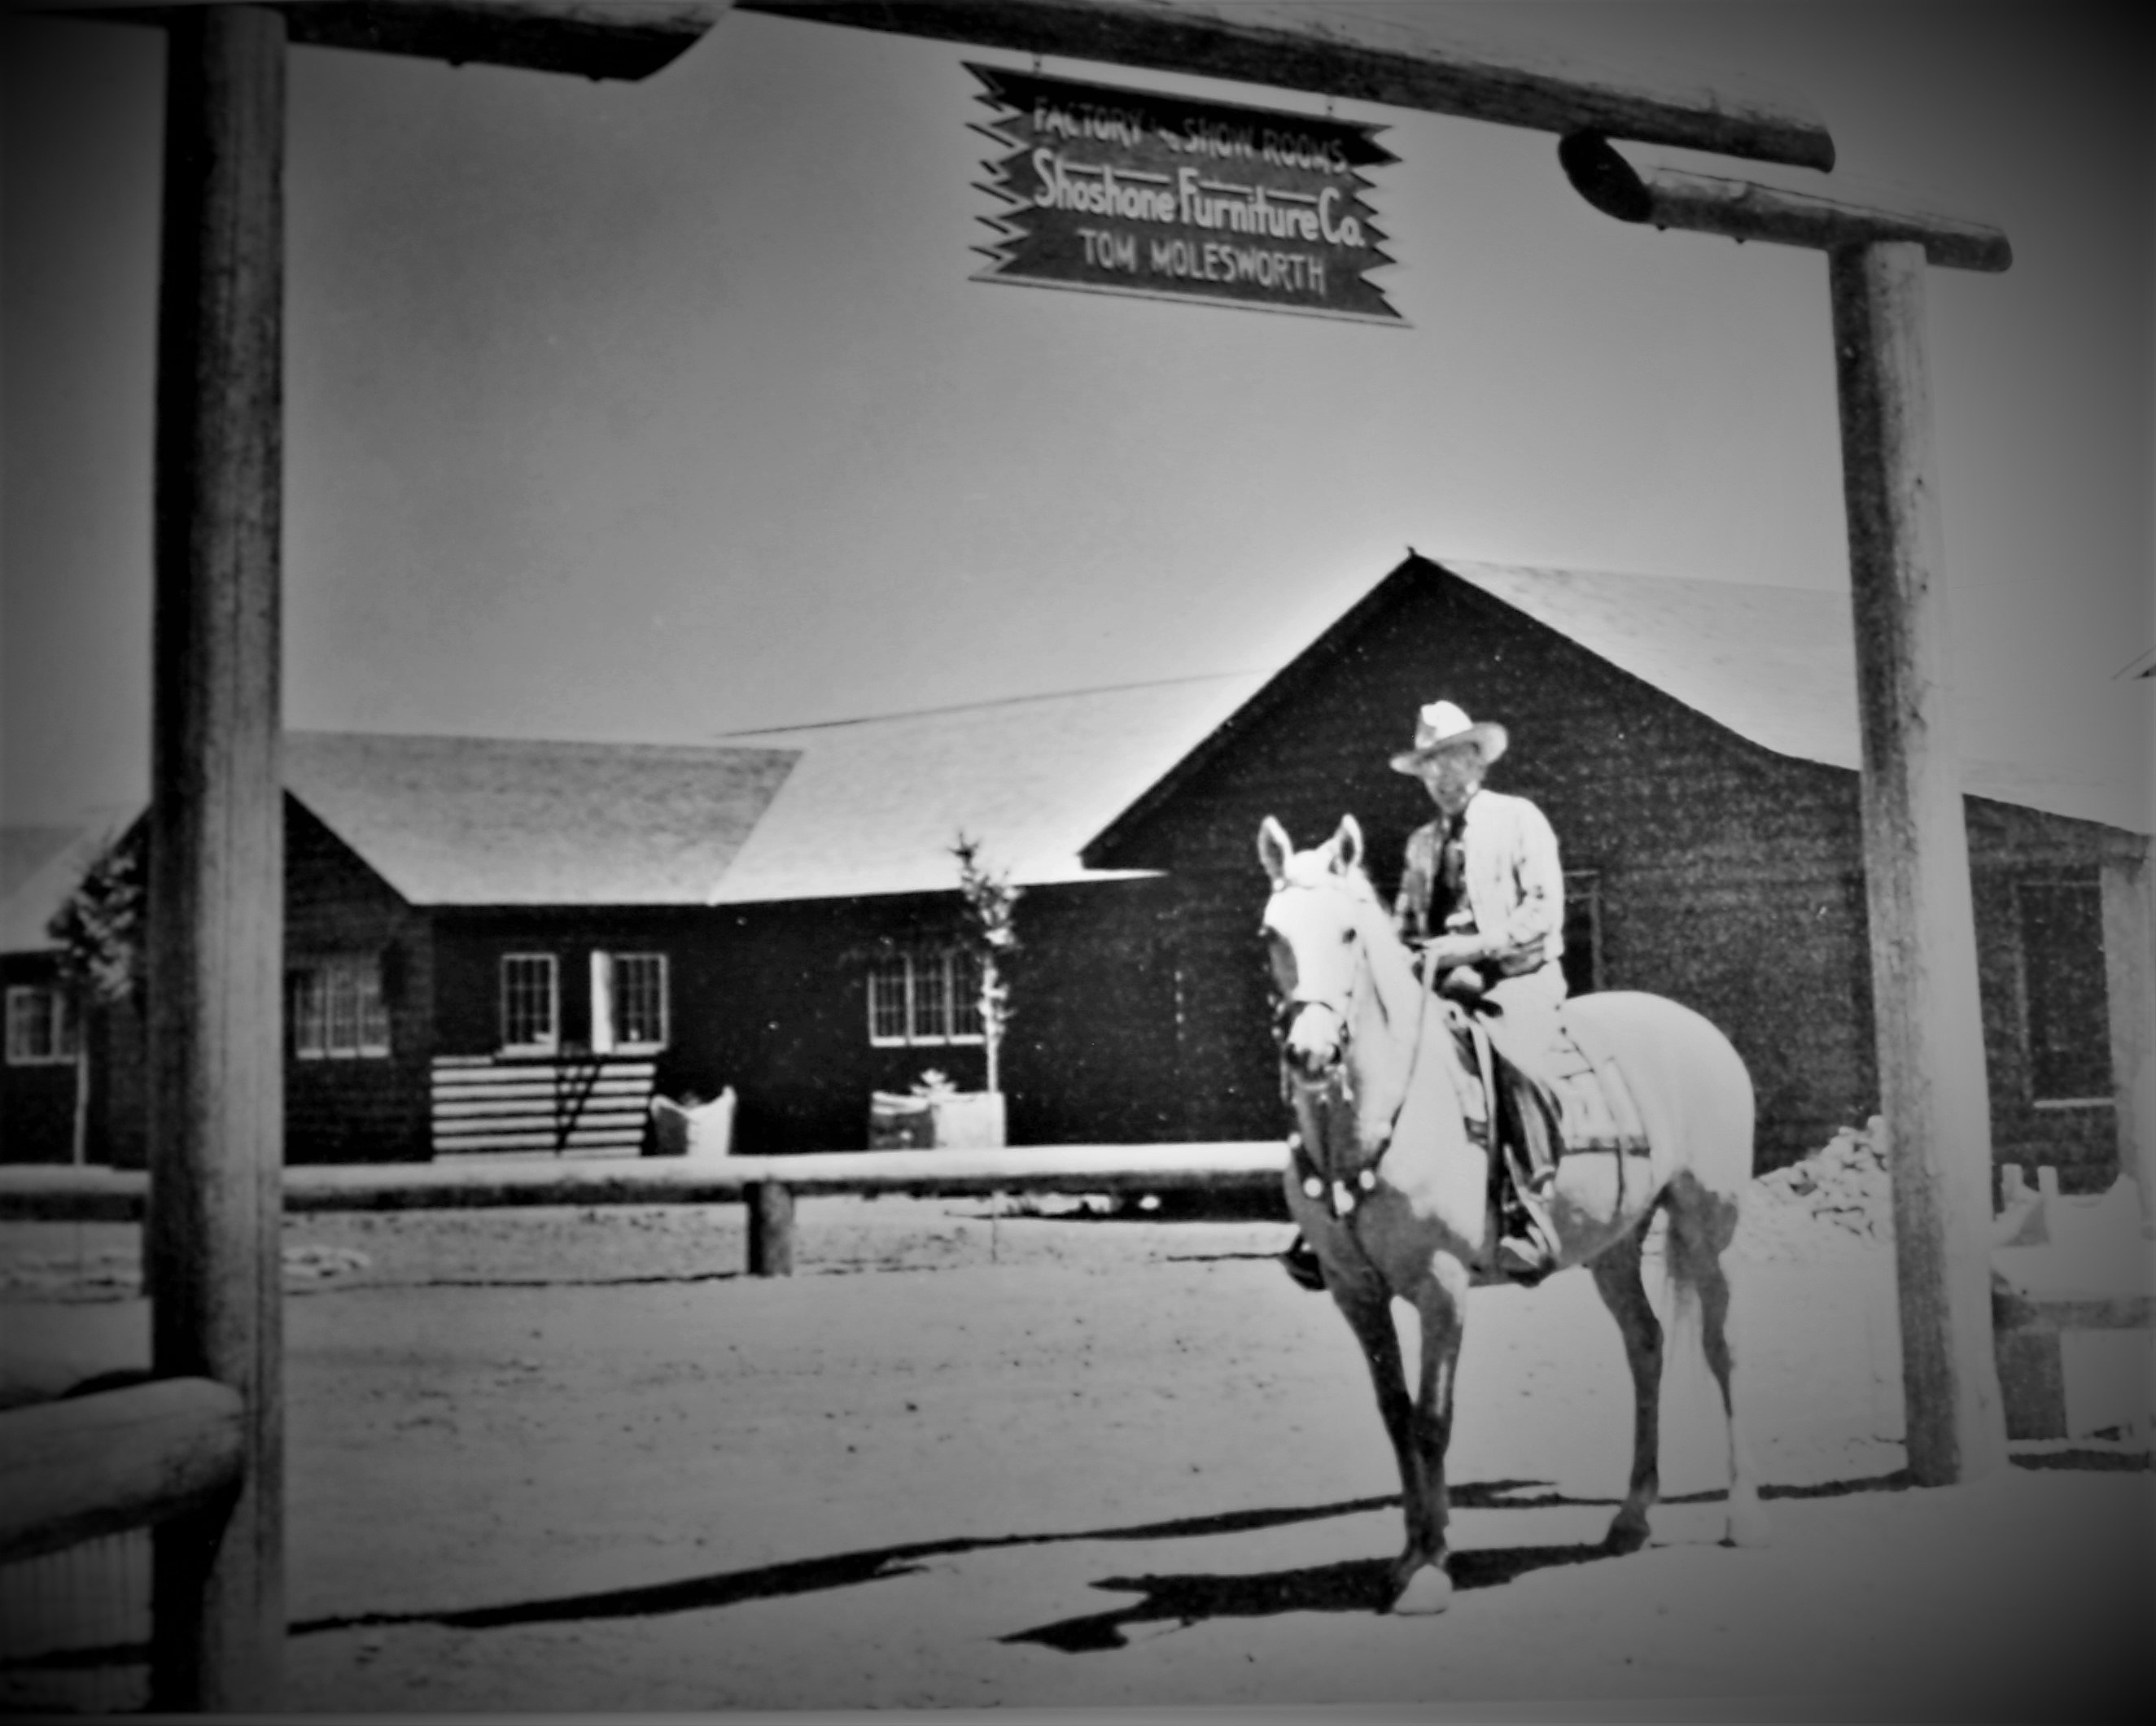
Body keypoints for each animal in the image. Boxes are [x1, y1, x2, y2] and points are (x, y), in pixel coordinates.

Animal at [1259, 814, 1759, 1611]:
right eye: (1269, 932)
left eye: (1346, 932)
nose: (1310, 1052)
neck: (1371, 1122)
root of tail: (1695, 1030)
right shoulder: (1354, 1292)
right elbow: (1396, 1417)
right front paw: (1406, 1556)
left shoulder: (1440, 1286)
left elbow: (1432, 1420)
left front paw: (1432, 1567)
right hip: (1614, 1246)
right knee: (1644, 1346)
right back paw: (1630, 1518)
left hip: (1709, 1225)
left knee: (1722, 1348)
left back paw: (1742, 1514)